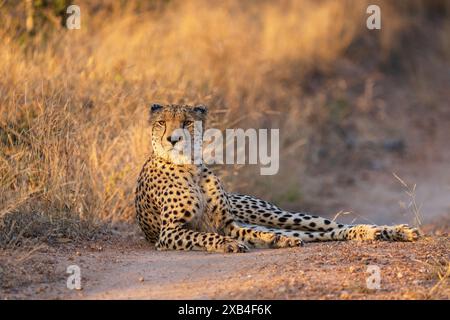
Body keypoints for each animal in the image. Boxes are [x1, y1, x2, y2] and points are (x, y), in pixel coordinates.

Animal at [135, 104, 420, 254]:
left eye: (186, 122)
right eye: (161, 122)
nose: (173, 139)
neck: (190, 166)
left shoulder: (225, 224)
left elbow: (224, 234)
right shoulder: (169, 232)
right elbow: (205, 236)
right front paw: (231, 244)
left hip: (277, 215)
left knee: (331, 226)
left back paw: (393, 231)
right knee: (318, 233)